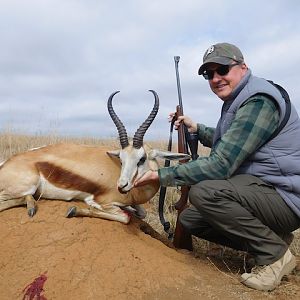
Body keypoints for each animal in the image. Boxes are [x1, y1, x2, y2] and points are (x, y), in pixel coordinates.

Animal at [0, 90, 188, 224]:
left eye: (141, 159)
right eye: (121, 159)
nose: (122, 186)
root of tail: (5, 164)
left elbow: (141, 213)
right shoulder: (103, 202)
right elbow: (124, 217)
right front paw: (73, 210)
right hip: (27, 186)